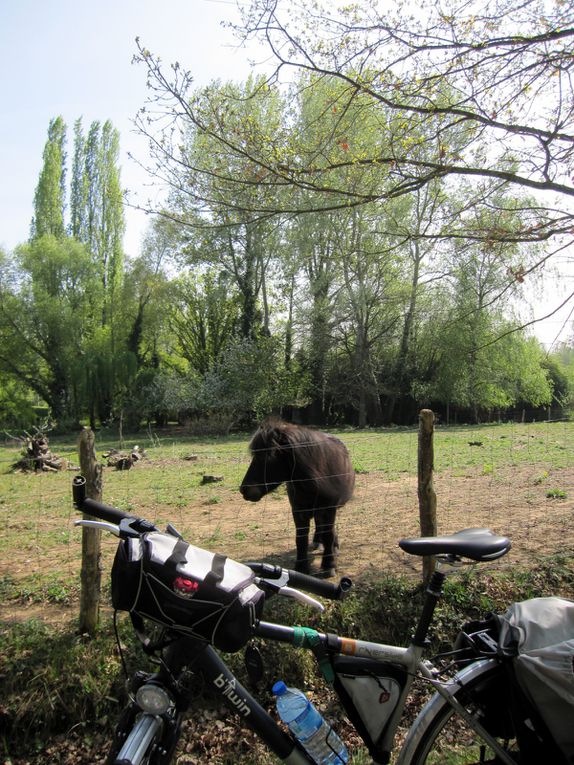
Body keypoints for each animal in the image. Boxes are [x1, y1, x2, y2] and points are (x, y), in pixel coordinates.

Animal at [240, 420, 356, 576]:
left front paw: (329, 565)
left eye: (268, 456)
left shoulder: (329, 509)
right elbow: (301, 538)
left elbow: (328, 535)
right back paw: (318, 542)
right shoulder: (298, 511)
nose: (243, 490)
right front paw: (301, 567)